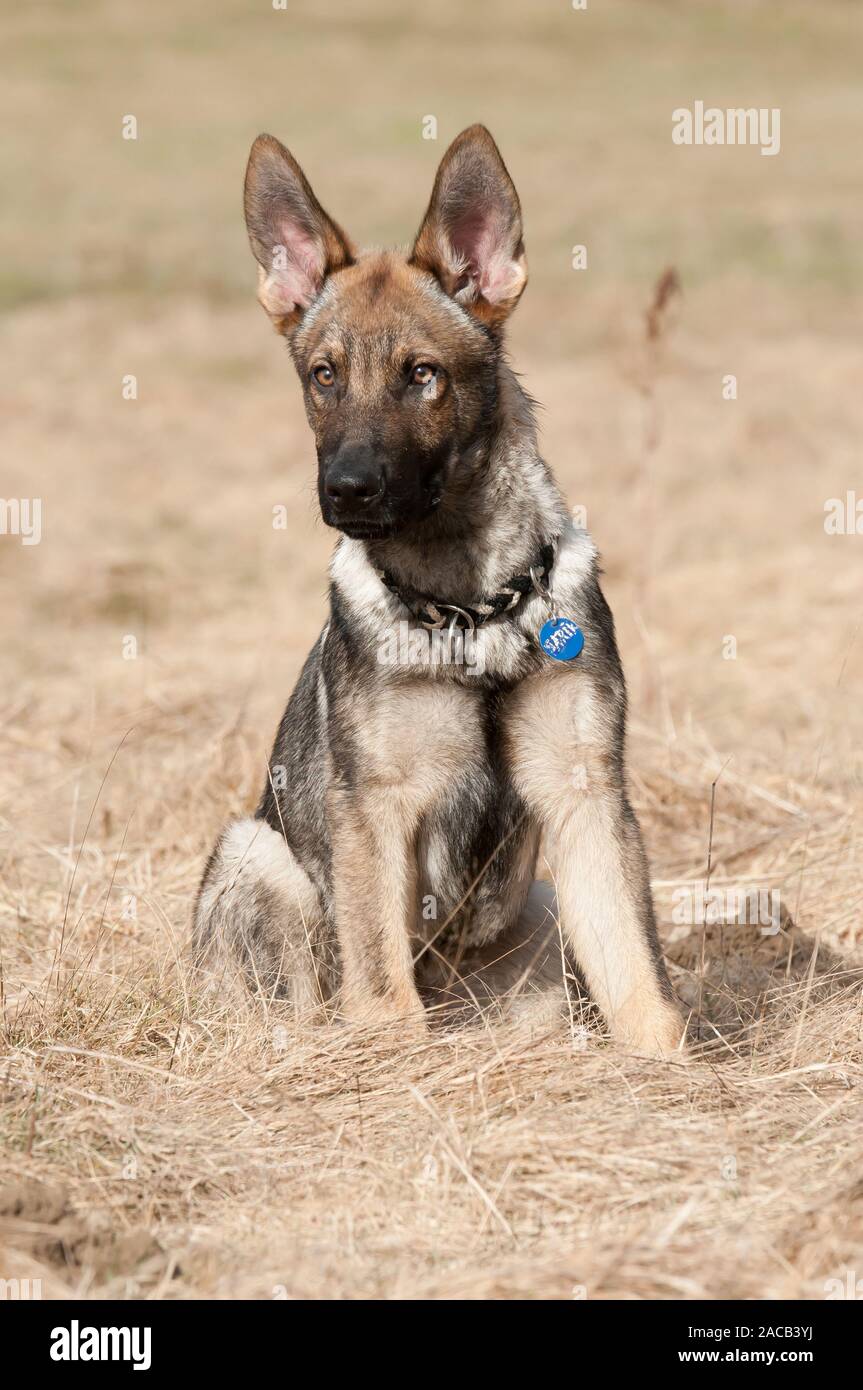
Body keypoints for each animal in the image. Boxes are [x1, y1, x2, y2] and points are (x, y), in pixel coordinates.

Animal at [191, 127, 683, 1050]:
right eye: (323, 376)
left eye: (422, 374)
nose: (346, 491)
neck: (469, 611)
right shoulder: (375, 814)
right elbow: (384, 995)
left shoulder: (588, 801)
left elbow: (642, 985)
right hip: (259, 857)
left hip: (538, 911)